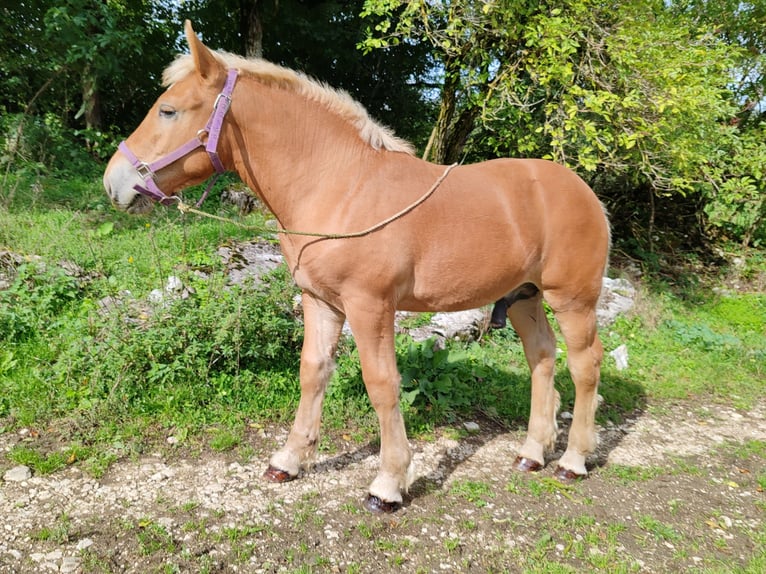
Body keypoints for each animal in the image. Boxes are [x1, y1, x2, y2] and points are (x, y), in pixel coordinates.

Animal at [103, 23, 612, 516]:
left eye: (168, 111)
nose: (114, 182)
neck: (341, 186)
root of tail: (585, 192)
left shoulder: (370, 306)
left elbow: (382, 384)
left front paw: (388, 484)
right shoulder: (320, 301)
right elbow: (312, 371)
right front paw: (289, 460)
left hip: (572, 299)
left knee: (586, 364)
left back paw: (572, 459)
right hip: (525, 297)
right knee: (541, 357)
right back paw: (532, 452)